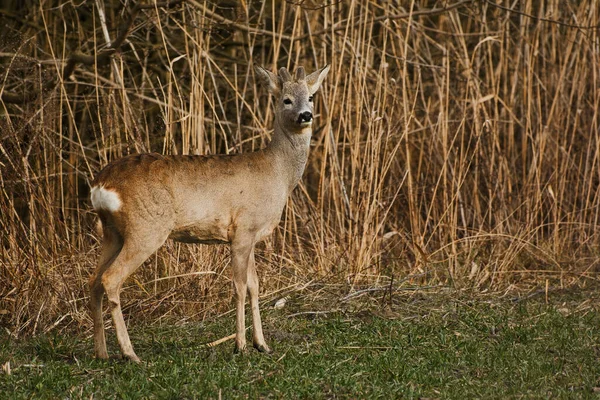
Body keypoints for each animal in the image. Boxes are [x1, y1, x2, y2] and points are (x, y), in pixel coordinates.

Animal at [88, 64, 328, 360]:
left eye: (311, 97)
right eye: (286, 100)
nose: (305, 115)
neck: (278, 173)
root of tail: (101, 184)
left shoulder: (250, 237)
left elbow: (254, 286)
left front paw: (262, 344)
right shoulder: (242, 230)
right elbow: (239, 287)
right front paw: (241, 345)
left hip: (111, 232)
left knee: (94, 281)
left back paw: (101, 352)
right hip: (145, 228)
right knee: (111, 278)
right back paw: (130, 353)